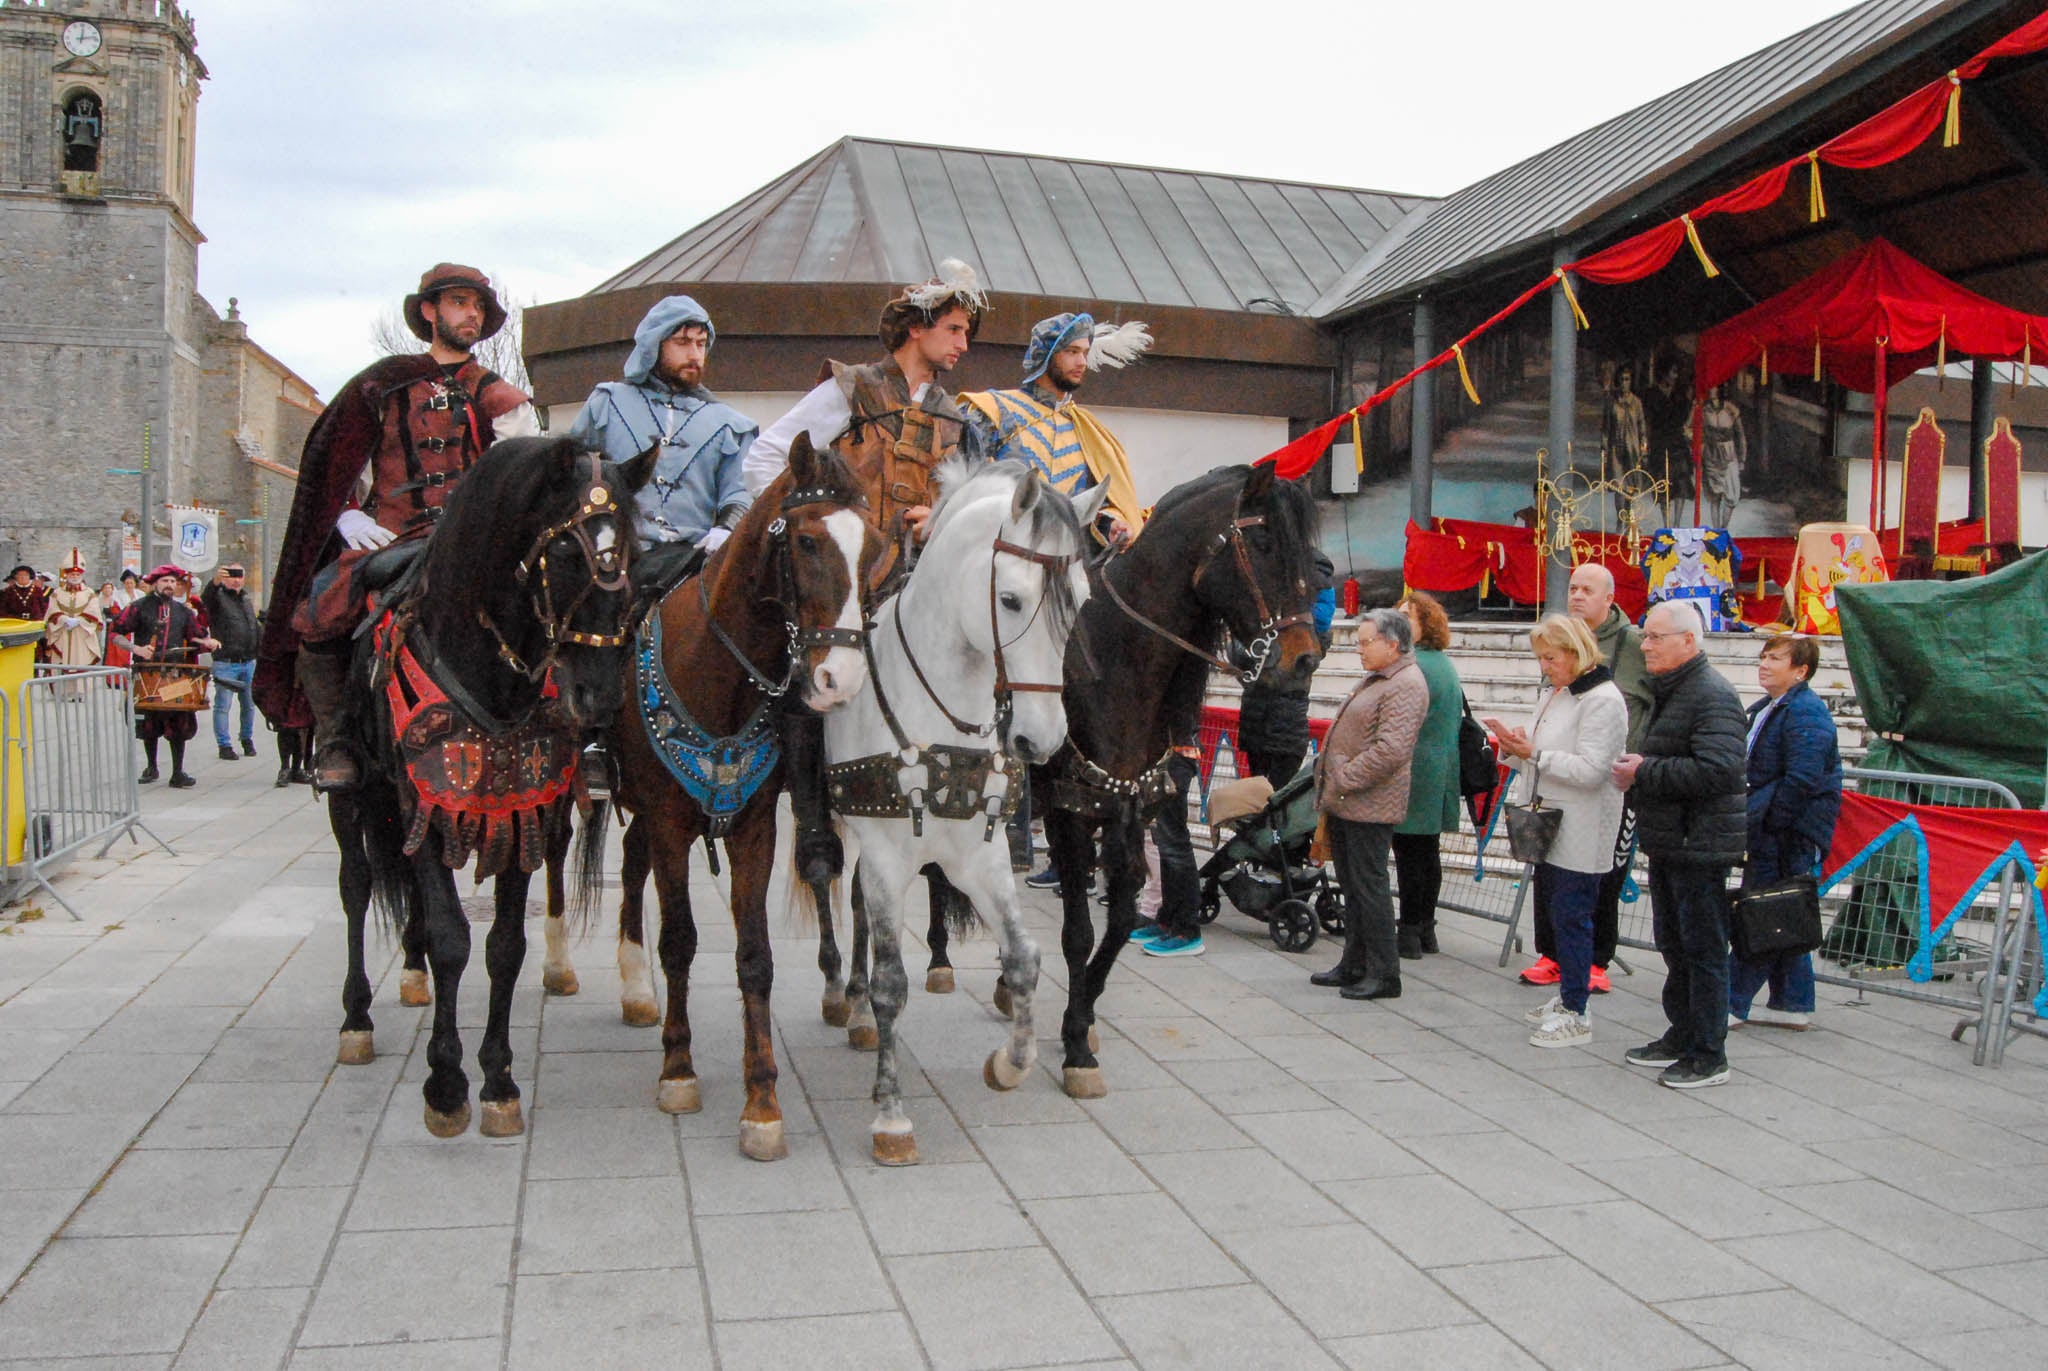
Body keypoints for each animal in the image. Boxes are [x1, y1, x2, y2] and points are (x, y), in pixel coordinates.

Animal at [331, 430, 655, 1131]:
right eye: (567, 550)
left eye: (636, 553)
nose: (599, 694)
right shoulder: (423, 805)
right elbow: (453, 938)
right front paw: (446, 1085)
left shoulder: (519, 814)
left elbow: (505, 945)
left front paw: (500, 1080)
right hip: (354, 794)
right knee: (356, 886)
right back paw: (356, 1019)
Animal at [593, 432, 880, 1164]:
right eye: (806, 541)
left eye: (874, 545)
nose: (840, 680)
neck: (716, 669)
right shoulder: (671, 821)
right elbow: (680, 942)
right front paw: (678, 1070)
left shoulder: (755, 828)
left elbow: (755, 959)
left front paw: (762, 1103)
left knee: (628, 864)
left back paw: (634, 987)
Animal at [823, 454, 1105, 1164]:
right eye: (1011, 601)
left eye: (1082, 603)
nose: (1042, 740)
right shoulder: (888, 853)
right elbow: (894, 982)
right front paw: (891, 1113)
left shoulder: (981, 854)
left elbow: (1026, 958)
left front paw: (1011, 1063)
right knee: (831, 893)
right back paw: (845, 997)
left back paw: (859, 1013)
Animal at [1032, 465, 1318, 1098]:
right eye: (1264, 543)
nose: (1304, 660)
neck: (1110, 662)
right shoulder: (1068, 810)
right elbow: (1078, 931)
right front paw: (1074, 1045)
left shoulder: (1125, 807)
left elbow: (1118, 917)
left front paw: (1080, 1021)